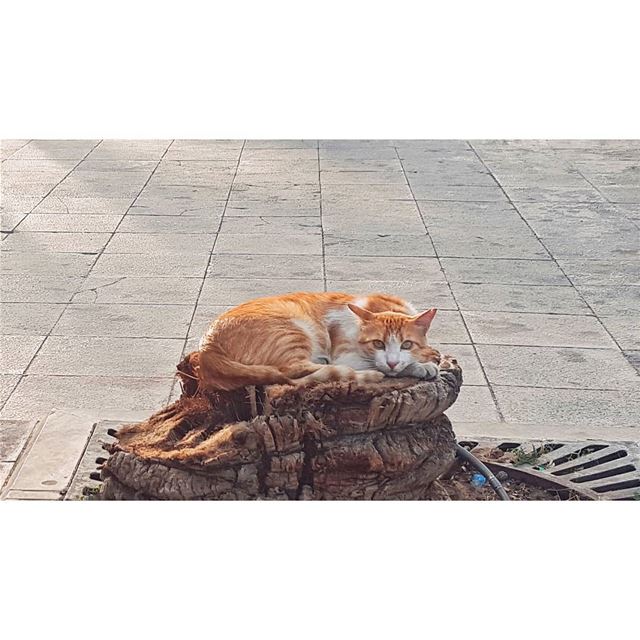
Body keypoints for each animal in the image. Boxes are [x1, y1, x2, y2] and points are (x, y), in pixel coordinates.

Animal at [190, 292, 440, 392]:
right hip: (294, 330)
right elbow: (384, 366)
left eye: (407, 344)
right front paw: (423, 365)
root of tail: (207, 348)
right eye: (378, 344)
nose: (392, 362)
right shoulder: (345, 355)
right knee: (292, 370)